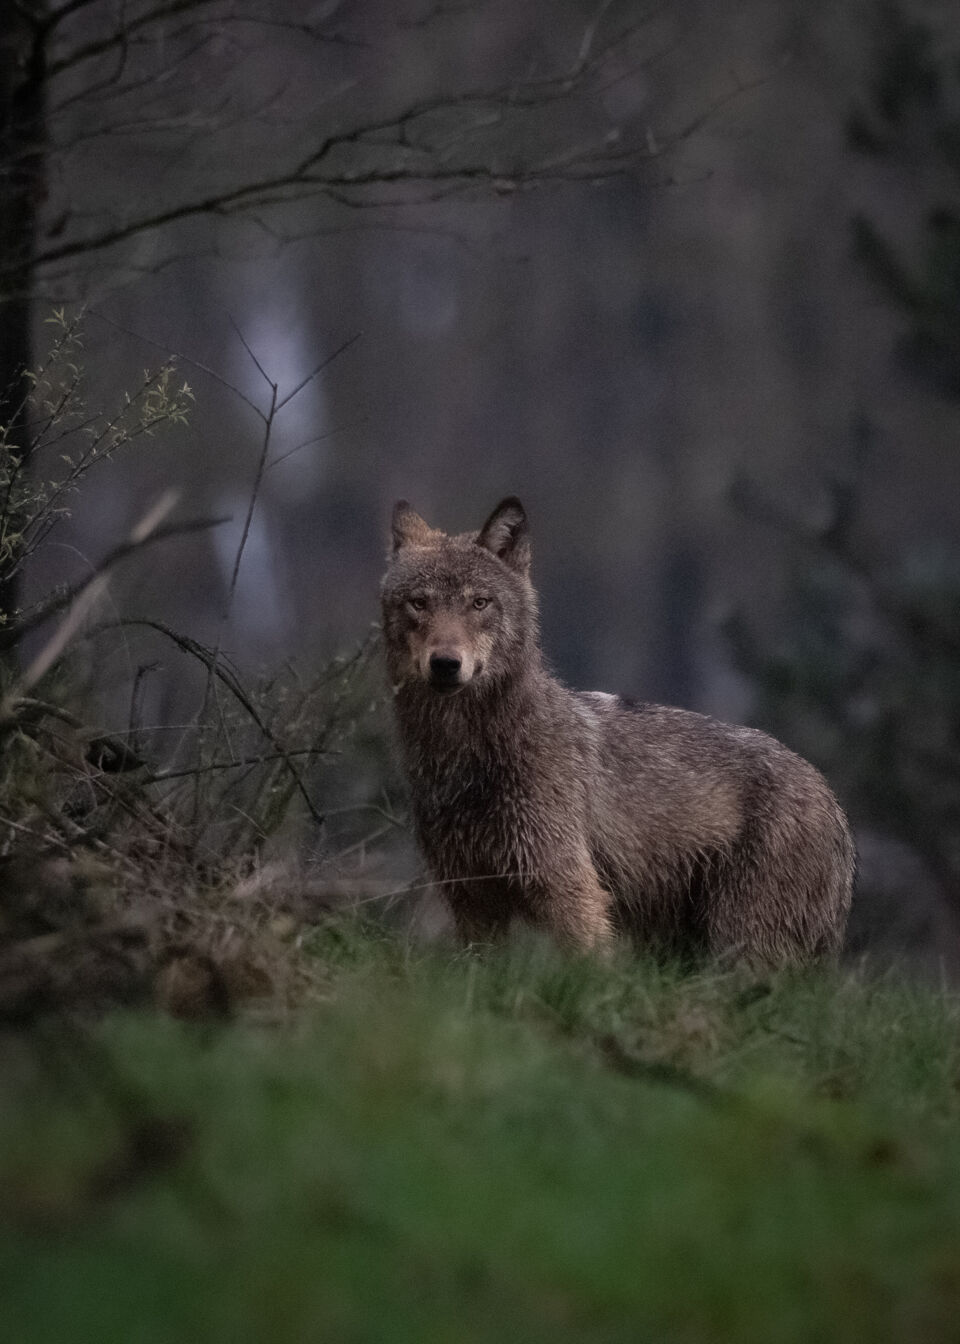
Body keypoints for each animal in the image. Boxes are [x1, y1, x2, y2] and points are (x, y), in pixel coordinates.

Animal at [381, 499, 855, 962]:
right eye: (419, 603)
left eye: (479, 603)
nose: (446, 663)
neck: (463, 756)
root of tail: (832, 800)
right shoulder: (470, 898)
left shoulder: (568, 887)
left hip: (739, 943)